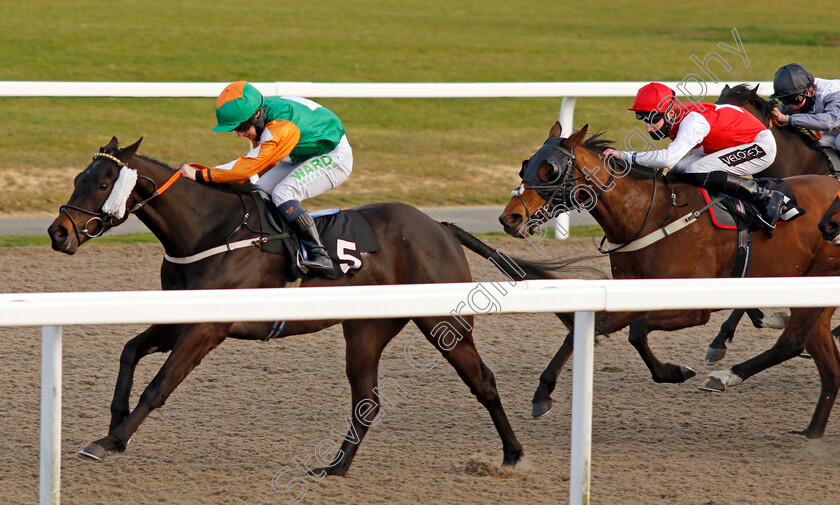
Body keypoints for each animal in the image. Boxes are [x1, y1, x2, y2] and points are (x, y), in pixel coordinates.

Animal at [46, 137, 564, 472]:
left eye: (102, 183)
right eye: (76, 177)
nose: (58, 232)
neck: (210, 229)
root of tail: (439, 226)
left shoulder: (208, 327)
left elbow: (159, 387)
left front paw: (109, 441)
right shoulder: (182, 316)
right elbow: (130, 350)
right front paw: (115, 418)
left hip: (443, 321)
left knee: (483, 381)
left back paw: (512, 455)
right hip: (366, 330)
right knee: (367, 400)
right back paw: (334, 467)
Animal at [496, 123, 840, 438]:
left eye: (550, 171)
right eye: (527, 165)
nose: (509, 218)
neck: (650, 216)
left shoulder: (695, 307)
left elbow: (637, 331)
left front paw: (675, 371)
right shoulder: (631, 293)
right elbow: (588, 330)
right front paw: (542, 394)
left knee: (791, 343)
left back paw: (723, 377)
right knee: (827, 363)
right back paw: (811, 433)